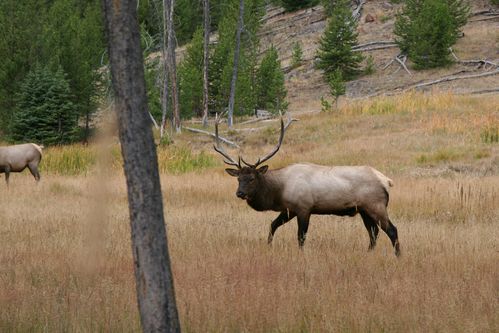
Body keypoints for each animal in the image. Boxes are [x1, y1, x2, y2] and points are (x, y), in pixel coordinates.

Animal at [215, 115, 402, 255]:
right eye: (238, 179)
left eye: (252, 178)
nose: (240, 193)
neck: (279, 190)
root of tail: (386, 180)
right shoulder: (289, 209)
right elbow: (272, 225)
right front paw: (268, 245)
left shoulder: (304, 208)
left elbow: (301, 236)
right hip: (363, 209)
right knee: (374, 233)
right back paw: (368, 253)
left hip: (376, 205)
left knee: (392, 230)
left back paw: (398, 256)